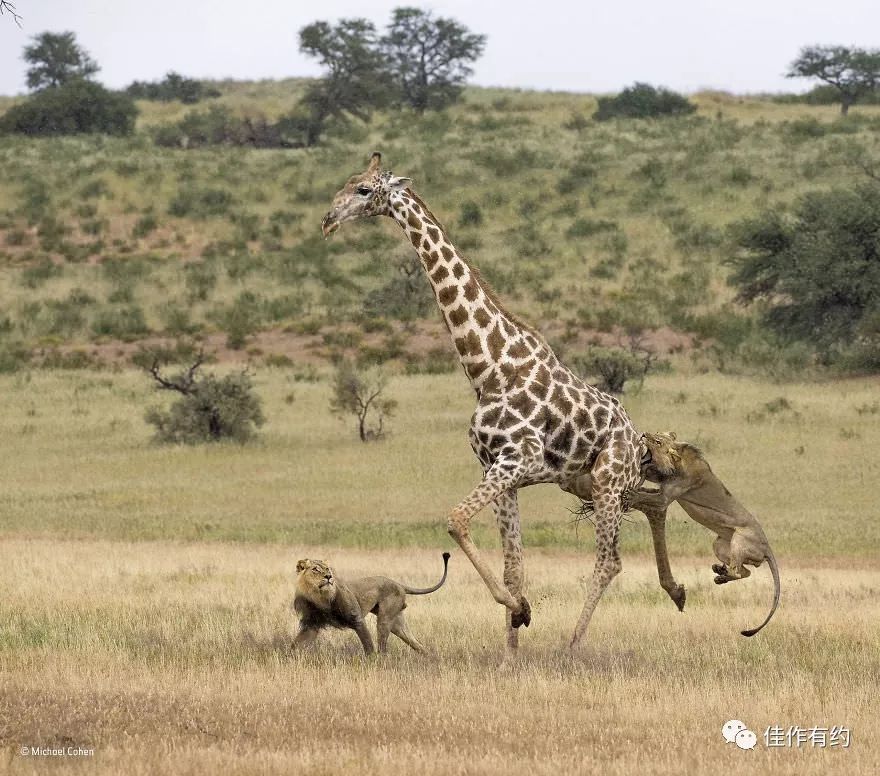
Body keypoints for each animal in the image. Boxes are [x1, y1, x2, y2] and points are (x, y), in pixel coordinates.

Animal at [292, 552, 450, 656]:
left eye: (327, 569)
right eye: (315, 569)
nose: (329, 577)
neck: (320, 597)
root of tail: (398, 583)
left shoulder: (357, 619)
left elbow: (367, 643)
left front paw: (371, 660)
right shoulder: (312, 625)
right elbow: (296, 643)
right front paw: (289, 656)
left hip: (385, 618)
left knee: (383, 646)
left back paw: (381, 660)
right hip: (397, 624)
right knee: (416, 643)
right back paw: (431, 658)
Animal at [320, 153, 644, 648]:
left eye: (363, 190)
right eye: (347, 181)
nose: (328, 220)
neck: (487, 367)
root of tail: (637, 440)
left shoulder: (516, 460)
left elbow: (455, 518)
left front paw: (520, 611)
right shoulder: (499, 468)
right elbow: (514, 568)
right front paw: (512, 642)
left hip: (609, 481)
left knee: (610, 560)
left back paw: (572, 645)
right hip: (580, 482)